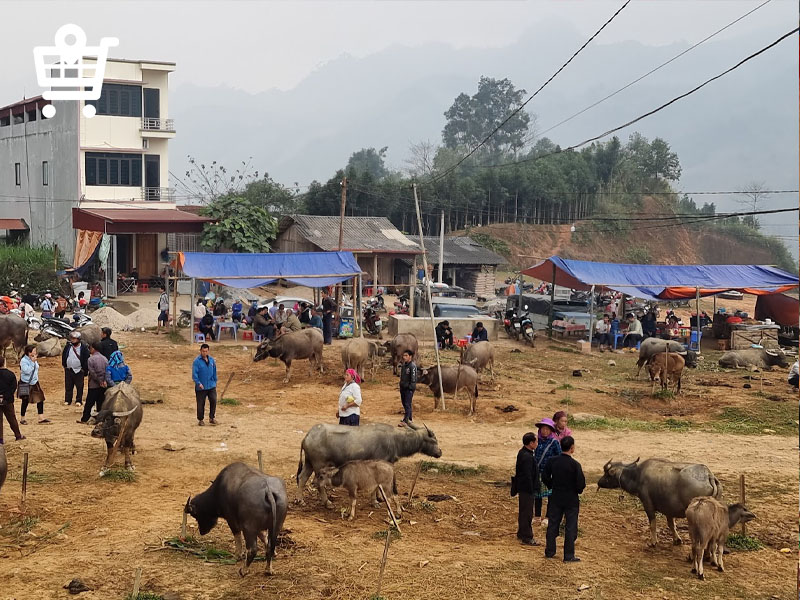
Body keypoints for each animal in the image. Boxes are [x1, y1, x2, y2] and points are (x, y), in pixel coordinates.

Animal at [296, 422, 440, 506]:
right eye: (434, 440)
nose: (440, 452)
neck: (395, 439)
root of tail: (307, 436)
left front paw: (380, 498)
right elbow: (376, 485)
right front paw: (375, 501)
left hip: (309, 463)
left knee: (302, 478)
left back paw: (301, 500)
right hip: (319, 465)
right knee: (318, 483)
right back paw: (327, 502)